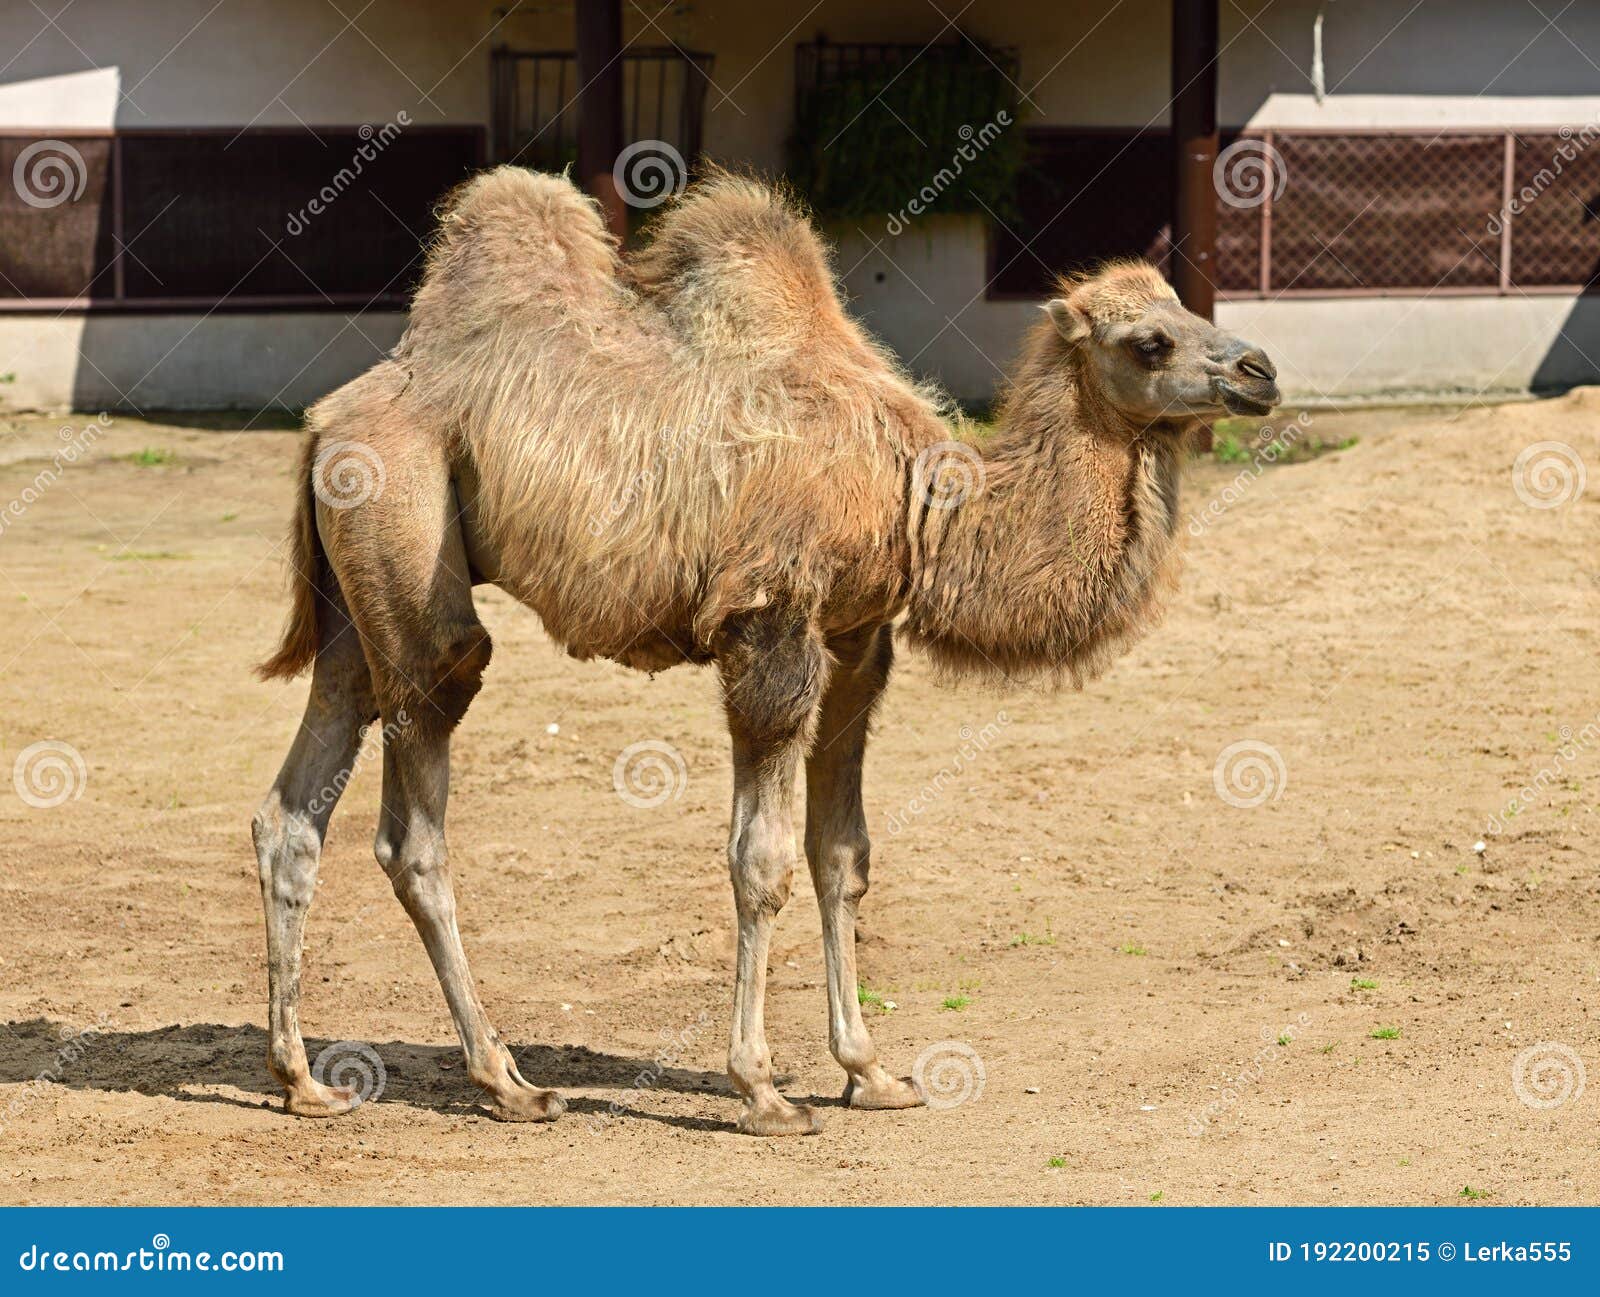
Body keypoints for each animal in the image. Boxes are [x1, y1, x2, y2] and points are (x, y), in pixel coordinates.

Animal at [252, 164, 1273, 1138]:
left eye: (1187, 307)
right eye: (1149, 340)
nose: (1259, 369)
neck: (923, 498)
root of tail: (328, 420)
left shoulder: (858, 639)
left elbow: (842, 853)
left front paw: (872, 1072)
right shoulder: (771, 620)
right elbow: (762, 860)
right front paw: (764, 1090)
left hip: (354, 597)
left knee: (294, 806)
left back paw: (303, 1082)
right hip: (407, 539)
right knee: (417, 809)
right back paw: (507, 1081)